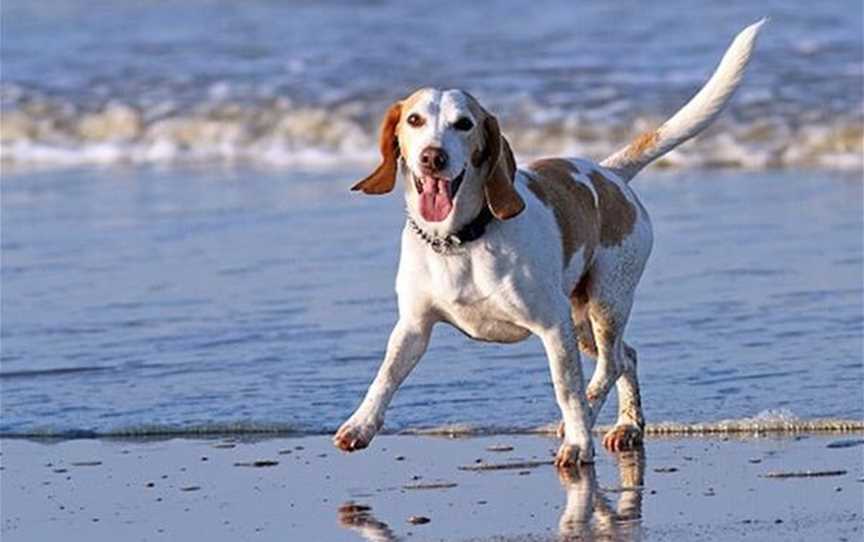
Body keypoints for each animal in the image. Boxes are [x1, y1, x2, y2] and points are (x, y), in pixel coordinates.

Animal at [334, 19, 768, 466]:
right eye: (415, 120)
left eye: (464, 124)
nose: (433, 157)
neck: (461, 240)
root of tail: (609, 174)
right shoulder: (413, 327)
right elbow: (385, 376)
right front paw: (360, 425)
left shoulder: (551, 325)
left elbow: (567, 390)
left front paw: (577, 442)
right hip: (581, 320)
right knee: (626, 357)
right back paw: (627, 426)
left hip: (604, 304)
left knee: (609, 365)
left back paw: (596, 420)